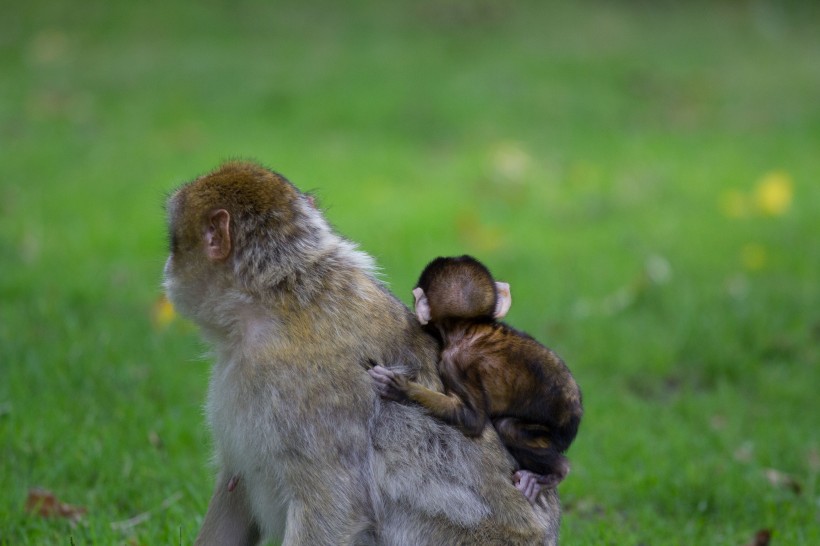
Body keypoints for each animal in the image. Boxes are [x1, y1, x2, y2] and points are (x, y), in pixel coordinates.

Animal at [372, 255, 584, 502]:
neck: (469, 328)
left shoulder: (452, 363)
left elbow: (473, 421)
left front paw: (401, 388)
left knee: (508, 427)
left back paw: (557, 471)